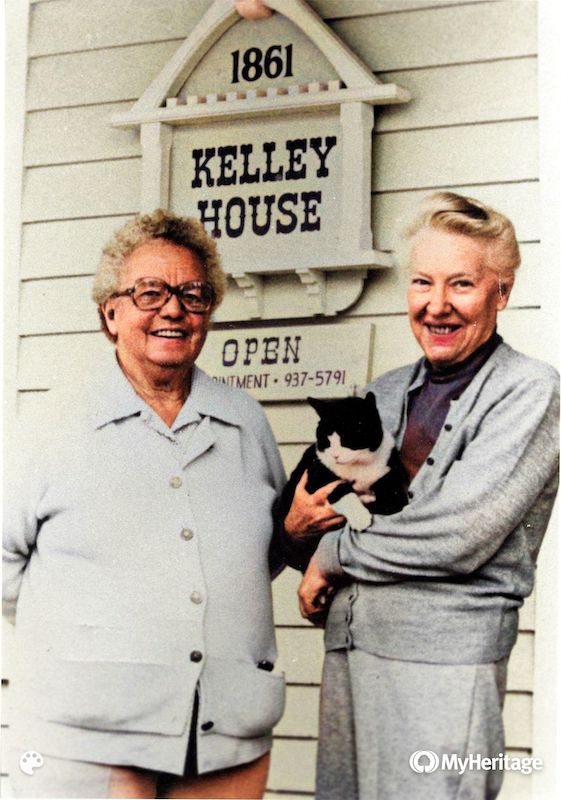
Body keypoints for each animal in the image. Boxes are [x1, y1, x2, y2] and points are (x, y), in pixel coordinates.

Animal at [280, 392, 406, 532]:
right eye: (326, 440)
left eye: (346, 439)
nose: (335, 456)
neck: (358, 464)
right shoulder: (315, 473)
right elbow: (340, 488)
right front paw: (360, 516)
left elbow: (394, 502)